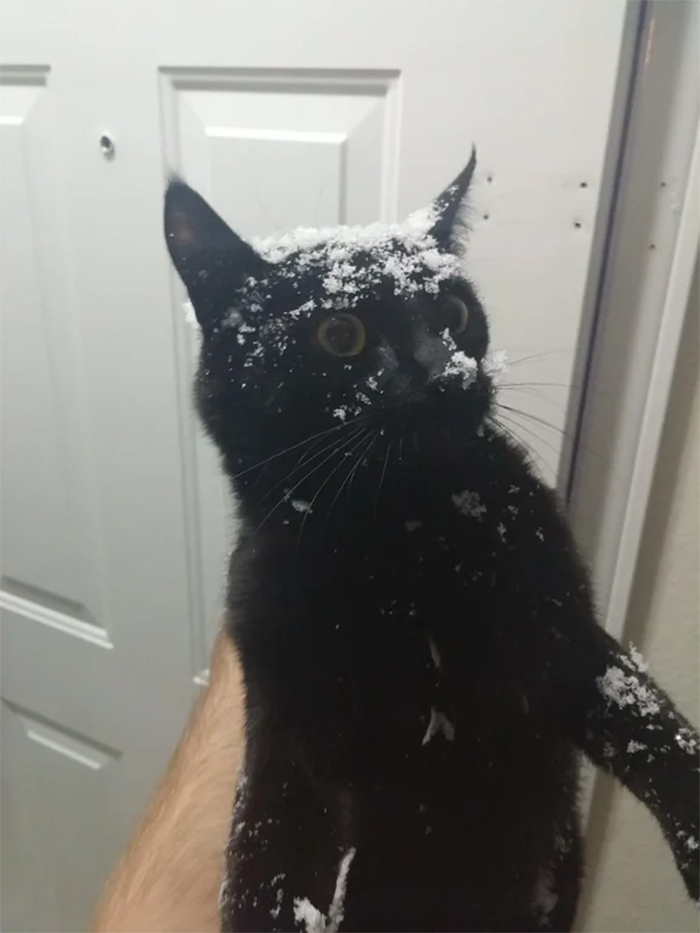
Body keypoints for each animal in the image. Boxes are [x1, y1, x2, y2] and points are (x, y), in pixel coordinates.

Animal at [165, 155, 700, 932]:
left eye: (454, 314)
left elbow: (650, 724)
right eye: (341, 334)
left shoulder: (562, 633)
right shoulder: (286, 722)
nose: (446, 371)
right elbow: (267, 860)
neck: (401, 544)